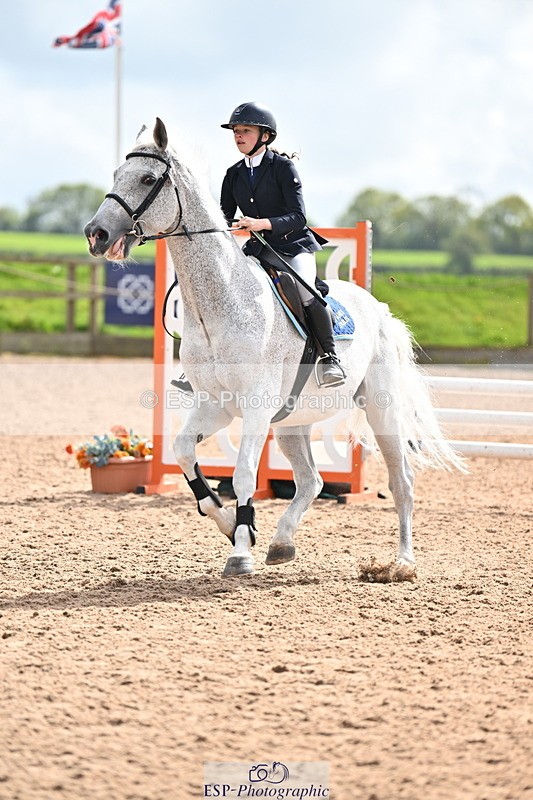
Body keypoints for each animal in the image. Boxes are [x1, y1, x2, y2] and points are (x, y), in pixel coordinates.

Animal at [85, 118, 465, 580]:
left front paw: (240, 551)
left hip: (381, 409)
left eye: (146, 179)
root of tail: (379, 309)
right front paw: (231, 523)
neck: (219, 304)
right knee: (311, 481)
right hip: (291, 422)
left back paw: (402, 563)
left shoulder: (254, 408)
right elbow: (184, 453)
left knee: (401, 482)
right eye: (116, 175)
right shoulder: (216, 405)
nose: (96, 234)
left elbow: (245, 474)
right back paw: (282, 542)